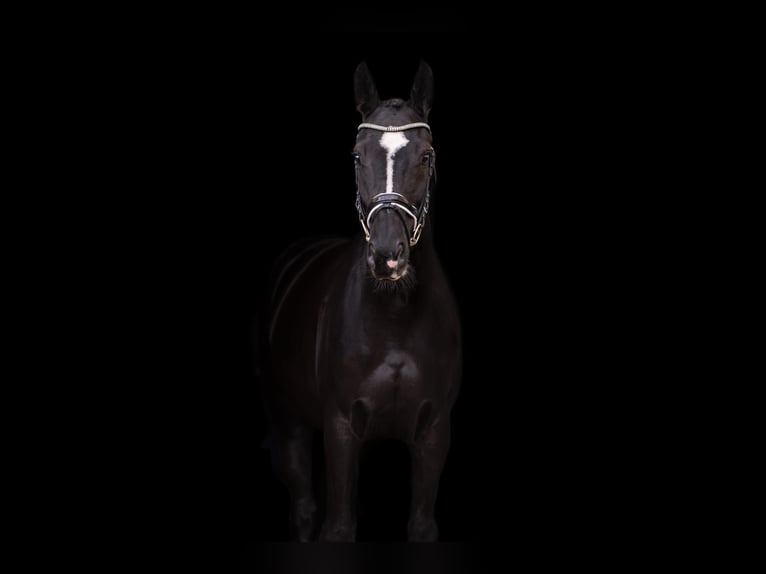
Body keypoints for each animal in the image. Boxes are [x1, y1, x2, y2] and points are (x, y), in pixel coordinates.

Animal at [257, 60, 462, 542]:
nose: (387, 255)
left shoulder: (433, 433)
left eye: (426, 156)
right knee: (305, 509)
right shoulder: (340, 427)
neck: (394, 320)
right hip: (288, 420)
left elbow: (420, 525)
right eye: (356, 156)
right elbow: (337, 526)